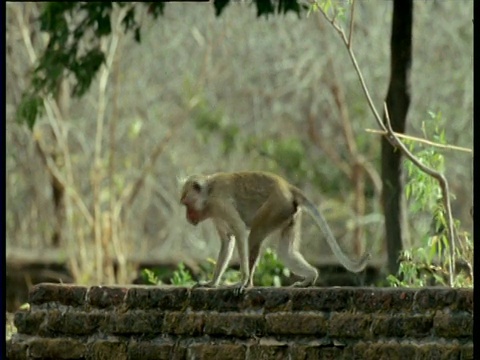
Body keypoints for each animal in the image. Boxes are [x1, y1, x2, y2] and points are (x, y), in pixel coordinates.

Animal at [180, 172, 372, 292]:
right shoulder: (215, 212)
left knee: (255, 234)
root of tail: (288, 187)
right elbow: (228, 240)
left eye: (186, 204)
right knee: (285, 251)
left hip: (277, 205)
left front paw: (241, 281)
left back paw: (248, 283)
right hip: (289, 213)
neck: (208, 193)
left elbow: (240, 231)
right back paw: (310, 277)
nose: (187, 217)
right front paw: (211, 283)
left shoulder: (219, 202)